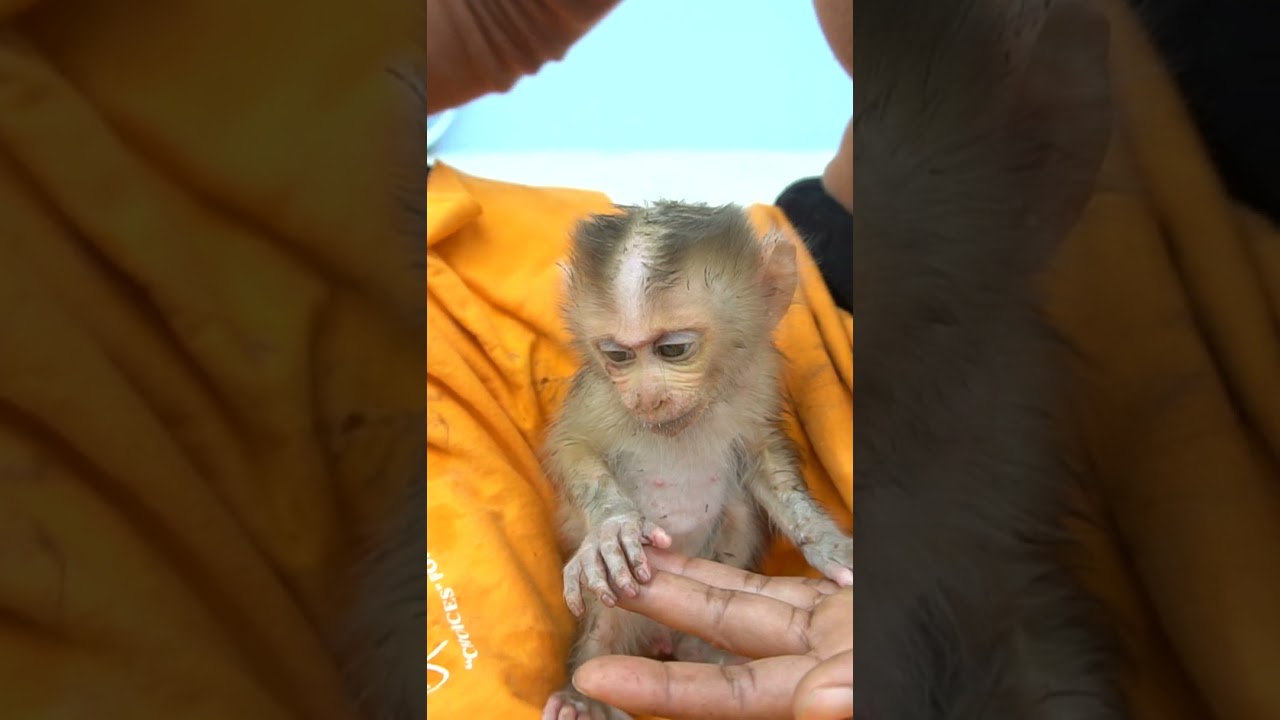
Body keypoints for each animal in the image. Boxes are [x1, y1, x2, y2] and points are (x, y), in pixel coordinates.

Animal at [541, 201, 854, 720]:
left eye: (673, 349)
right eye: (618, 356)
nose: (647, 398)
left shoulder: (756, 382)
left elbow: (764, 457)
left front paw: (826, 543)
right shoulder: (600, 397)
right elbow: (573, 449)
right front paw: (611, 527)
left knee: (738, 510)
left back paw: (699, 649)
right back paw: (583, 693)